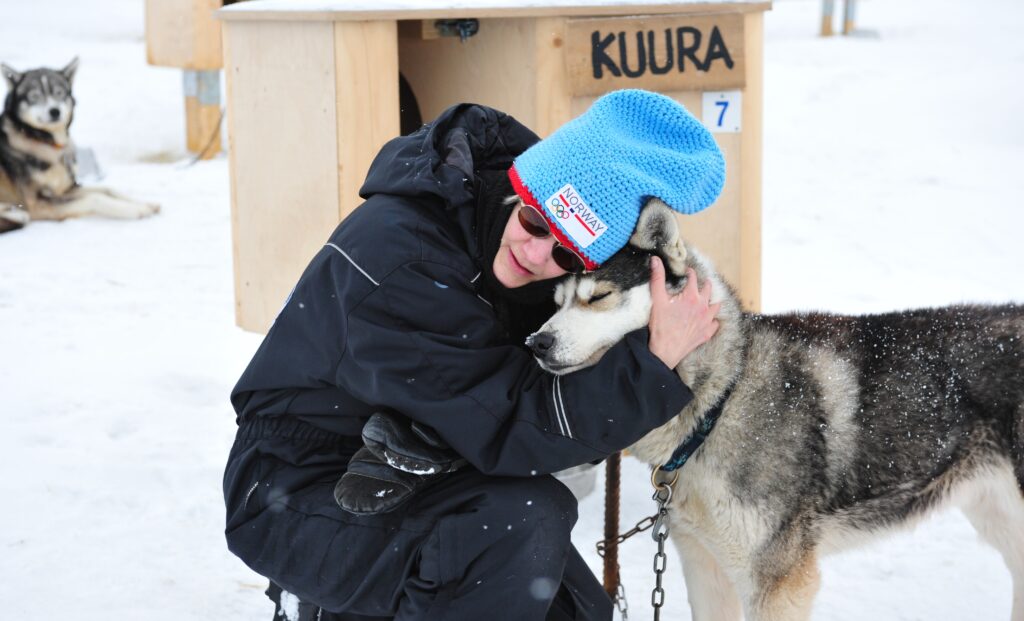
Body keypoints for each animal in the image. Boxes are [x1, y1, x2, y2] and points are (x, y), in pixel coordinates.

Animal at [1, 58, 158, 233]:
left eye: (59, 93)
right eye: (34, 96)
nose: (54, 111)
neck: (47, 143)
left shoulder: (65, 190)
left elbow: (108, 189)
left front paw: (145, 204)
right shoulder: (37, 202)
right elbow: (95, 198)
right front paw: (135, 210)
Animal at [528, 200, 1024, 621]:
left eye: (598, 297)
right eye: (556, 304)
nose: (536, 342)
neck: (722, 398)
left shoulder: (778, 582)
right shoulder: (704, 565)